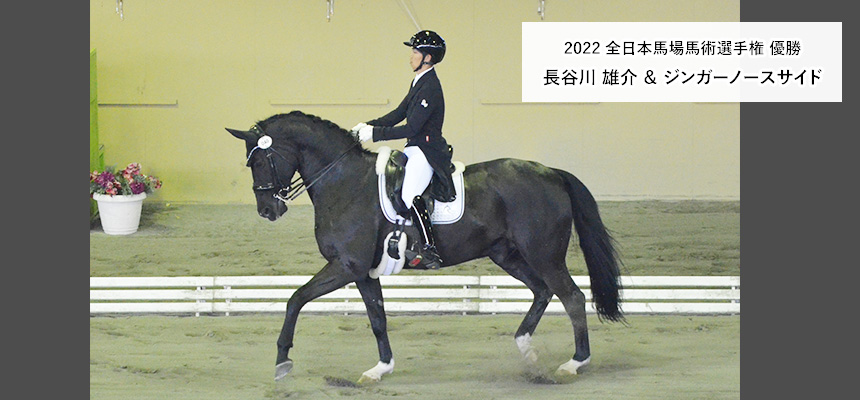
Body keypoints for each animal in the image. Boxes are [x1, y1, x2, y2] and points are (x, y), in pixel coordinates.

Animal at [225, 111, 620, 382]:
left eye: (258, 160)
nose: (267, 210)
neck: (343, 181)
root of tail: (552, 172)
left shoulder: (345, 265)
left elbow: (295, 299)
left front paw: (282, 362)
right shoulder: (363, 272)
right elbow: (377, 319)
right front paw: (380, 369)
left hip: (544, 254)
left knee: (572, 297)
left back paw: (574, 363)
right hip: (506, 254)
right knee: (542, 291)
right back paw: (526, 349)